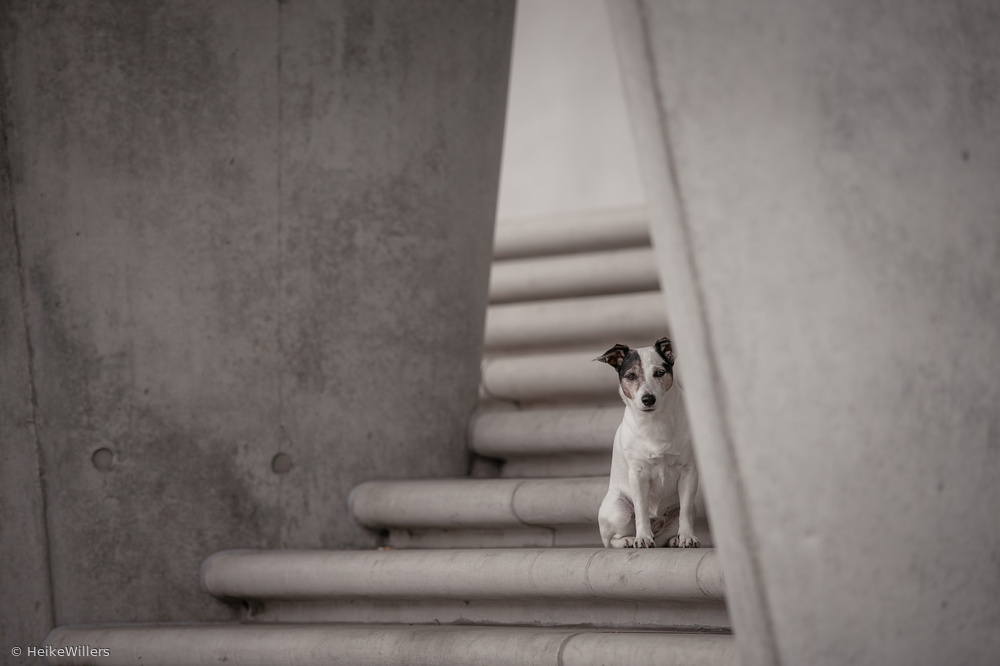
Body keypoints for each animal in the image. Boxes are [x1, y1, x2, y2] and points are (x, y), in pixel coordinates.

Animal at [596, 337, 700, 549]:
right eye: (631, 376)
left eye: (659, 373)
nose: (648, 399)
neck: (655, 423)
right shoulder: (638, 474)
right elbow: (641, 510)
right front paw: (642, 537)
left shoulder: (689, 473)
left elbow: (685, 511)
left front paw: (686, 537)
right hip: (619, 509)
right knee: (611, 540)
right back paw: (628, 540)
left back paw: (674, 538)